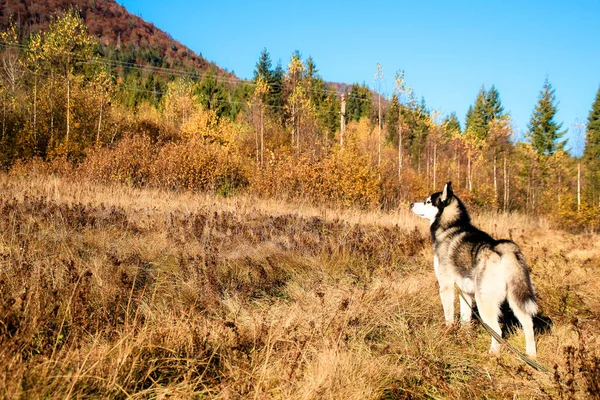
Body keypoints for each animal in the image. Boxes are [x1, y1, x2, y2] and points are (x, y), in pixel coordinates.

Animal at [410, 181, 536, 356]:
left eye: (427, 201)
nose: (411, 204)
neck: (452, 225)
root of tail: (503, 249)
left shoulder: (446, 286)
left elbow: (448, 315)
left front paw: (448, 332)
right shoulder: (465, 292)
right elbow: (465, 319)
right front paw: (464, 337)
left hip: (484, 301)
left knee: (497, 331)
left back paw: (493, 354)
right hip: (516, 299)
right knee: (528, 324)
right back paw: (531, 355)